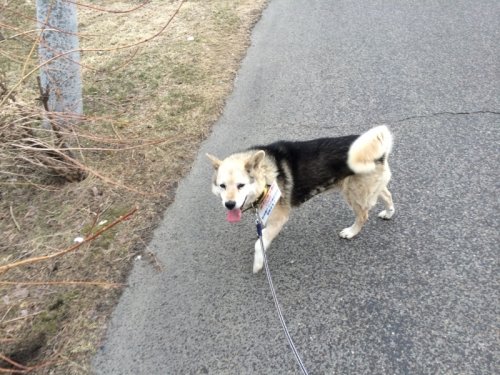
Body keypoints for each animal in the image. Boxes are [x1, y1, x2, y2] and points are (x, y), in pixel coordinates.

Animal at [207, 125, 394, 274]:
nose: (229, 205)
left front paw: (258, 263)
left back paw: (351, 232)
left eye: (241, 185)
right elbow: (263, 235)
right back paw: (388, 213)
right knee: (387, 195)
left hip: (353, 192)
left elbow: (258, 244)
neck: (265, 175)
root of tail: (379, 151)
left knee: (363, 215)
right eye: (222, 186)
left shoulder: (280, 217)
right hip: (368, 187)